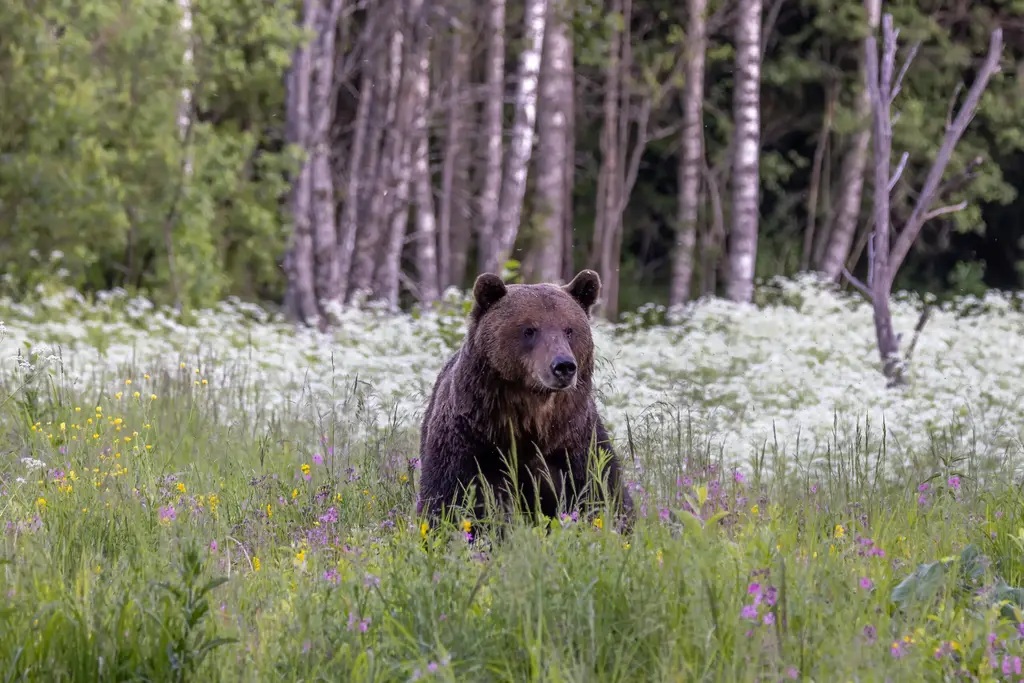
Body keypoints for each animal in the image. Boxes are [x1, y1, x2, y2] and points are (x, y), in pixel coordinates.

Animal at [415, 269, 634, 532]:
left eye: (569, 329)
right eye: (529, 329)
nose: (563, 366)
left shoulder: (576, 440)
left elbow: (602, 490)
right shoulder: (469, 440)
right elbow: (451, 497)